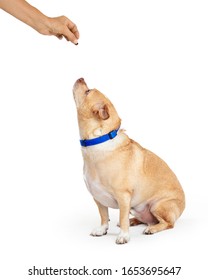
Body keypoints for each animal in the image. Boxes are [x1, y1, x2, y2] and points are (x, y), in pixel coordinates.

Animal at [72, 77, 185, 244]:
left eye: (87, 91)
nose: (81, 78)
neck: (99, 141)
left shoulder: (124, 197)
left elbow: (121, 216)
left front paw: (123, 236)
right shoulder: (98, 198)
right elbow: (104, 216)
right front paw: (102, 229)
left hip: (157, 206)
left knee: (167, 223)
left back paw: (151, 229)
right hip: (136, 207)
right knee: (146, 220)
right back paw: (135, 221)